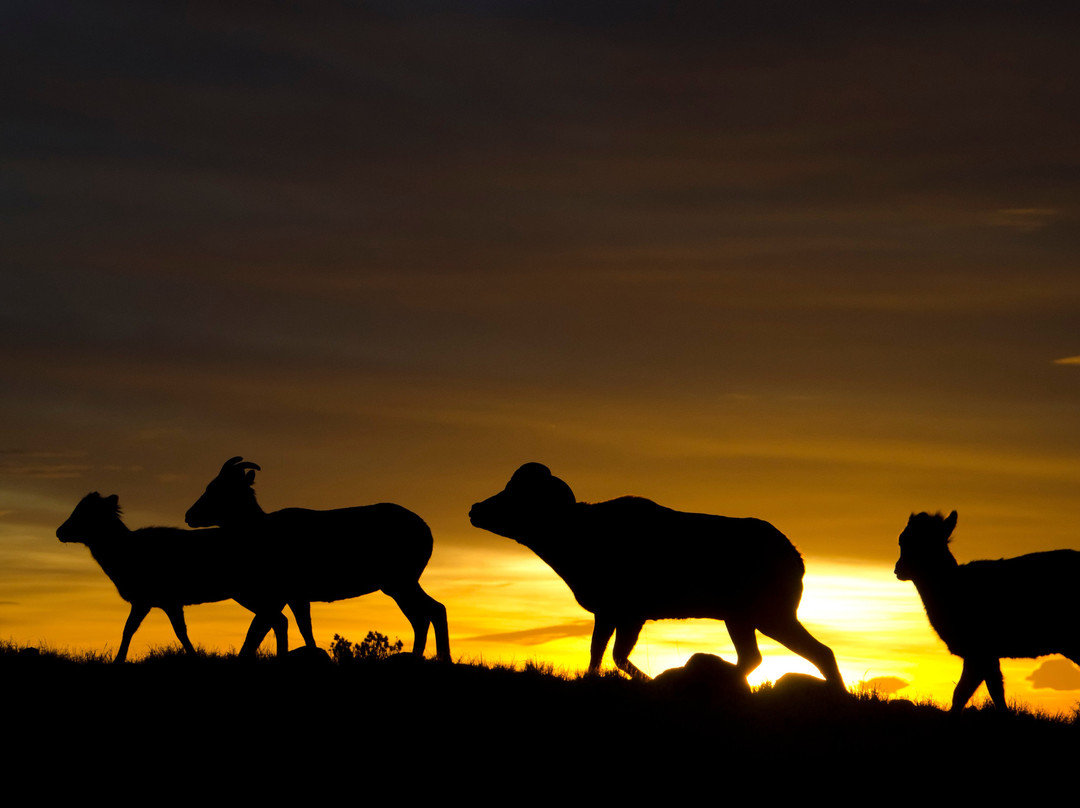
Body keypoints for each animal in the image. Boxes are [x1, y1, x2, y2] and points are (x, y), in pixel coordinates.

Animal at [56, 492, 289, 661]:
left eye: (83, 513)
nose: (59, 531)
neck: (122, 558)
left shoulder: (150, 599)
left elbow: (133, 630)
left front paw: (118, 660)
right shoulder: (165, 602)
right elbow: (177, 631)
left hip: (250, 591)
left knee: (276, 620)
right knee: (276, 621)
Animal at [185, 458, 451, 661]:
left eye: (217, 489)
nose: (189, 515)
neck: (262, 531)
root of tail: (427, 531)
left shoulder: (285, 593)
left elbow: (263, 629)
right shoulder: (294, 596)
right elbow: (302, 627)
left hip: (401, 582)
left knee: (435, 610)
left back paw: (442, 658)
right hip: (397, 586)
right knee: (422, 616)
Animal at [468, 464, 838, 687]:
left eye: (519, 495)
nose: (475, 510)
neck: (582, 538)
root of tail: (795, 558)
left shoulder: (621, 614)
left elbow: (606, 656)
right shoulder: (620, 617)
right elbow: (608, 657)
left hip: (767, 618)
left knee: (812, 654)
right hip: (745, 621)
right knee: (768, 657)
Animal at [898, 512, 1080, 712]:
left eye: (920, 542)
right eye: (903, 540)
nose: (898, 569)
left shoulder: (979, 652)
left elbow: (964, 693)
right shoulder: (985, 655)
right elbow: (988, 692)